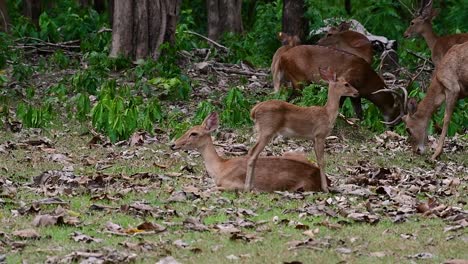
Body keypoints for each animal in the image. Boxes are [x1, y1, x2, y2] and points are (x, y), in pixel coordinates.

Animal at [170, 112, 328, 193]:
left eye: (194, 133)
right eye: (187, 130)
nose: (172, 144)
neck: (220, 168)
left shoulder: (235, 184)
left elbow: (211, 188)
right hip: (290, 153)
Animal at [274, 44, 402, 124]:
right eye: (397, 113)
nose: (393, 126)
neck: (367, 81)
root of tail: (282, 58)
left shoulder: (357, 94)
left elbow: (359, 112)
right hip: (299, 79)